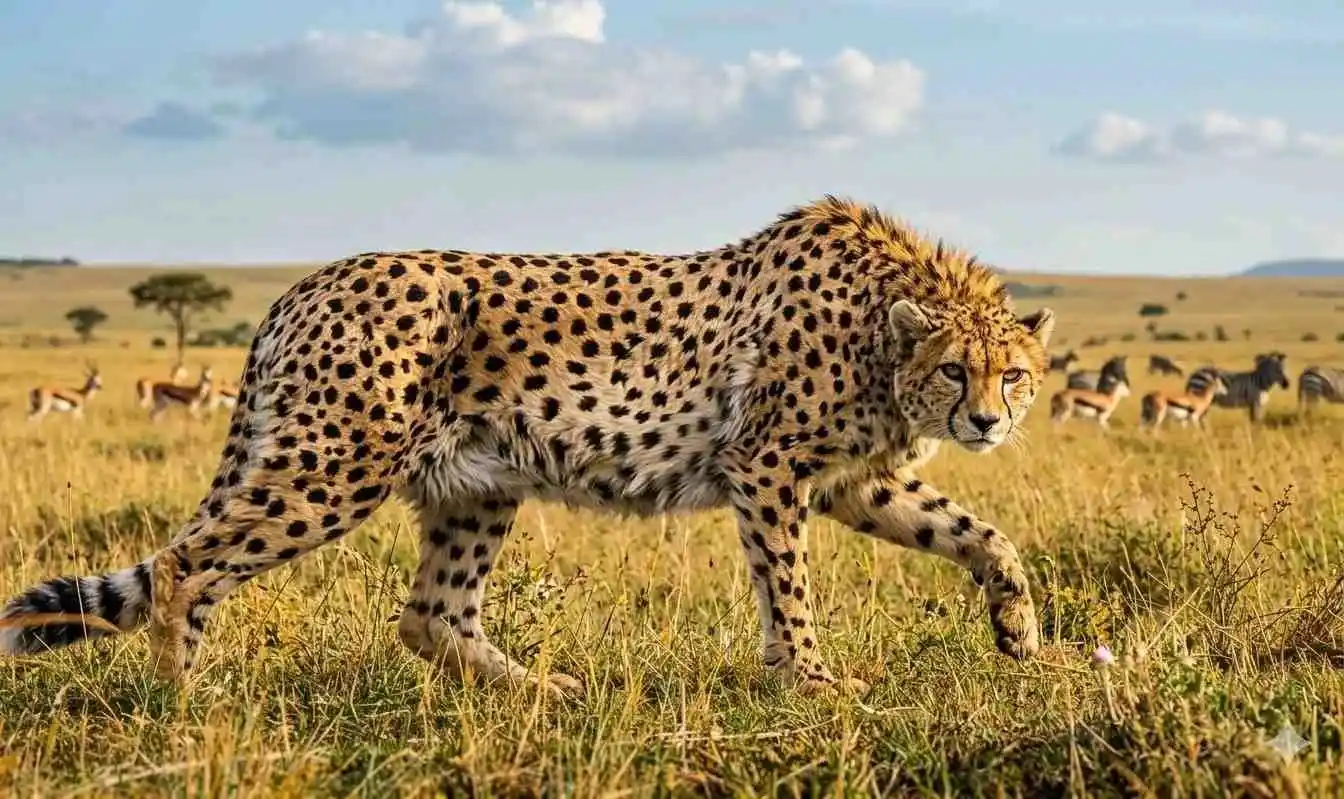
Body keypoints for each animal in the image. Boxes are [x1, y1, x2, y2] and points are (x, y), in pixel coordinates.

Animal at [0, 195, 1055, 698]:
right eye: (955, 371)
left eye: (1014, 373)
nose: (987, 421)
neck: (885, 324)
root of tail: (305, 284)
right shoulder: (766, 468)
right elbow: (788, 585)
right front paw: (809, 681)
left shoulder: (849, 481)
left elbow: (982, 535)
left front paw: (1020, 634)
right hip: (335, 466)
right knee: (185, 567)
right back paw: (192, 699)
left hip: (476, 482)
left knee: (429, 615)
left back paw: (539, 689)